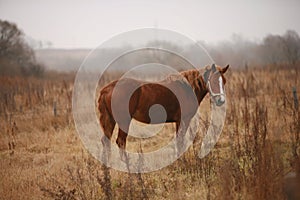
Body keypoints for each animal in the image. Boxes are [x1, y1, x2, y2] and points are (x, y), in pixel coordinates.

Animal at [97, 63, 229, 152]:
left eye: (224, 81)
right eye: (213, 81)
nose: (221, 100)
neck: (187, 88)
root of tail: (106, 89)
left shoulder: (178, 122)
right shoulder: (183, 120)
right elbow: (180, 142)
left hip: (110, 120)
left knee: (106, 142)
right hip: (124, 121)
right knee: (121, 142)